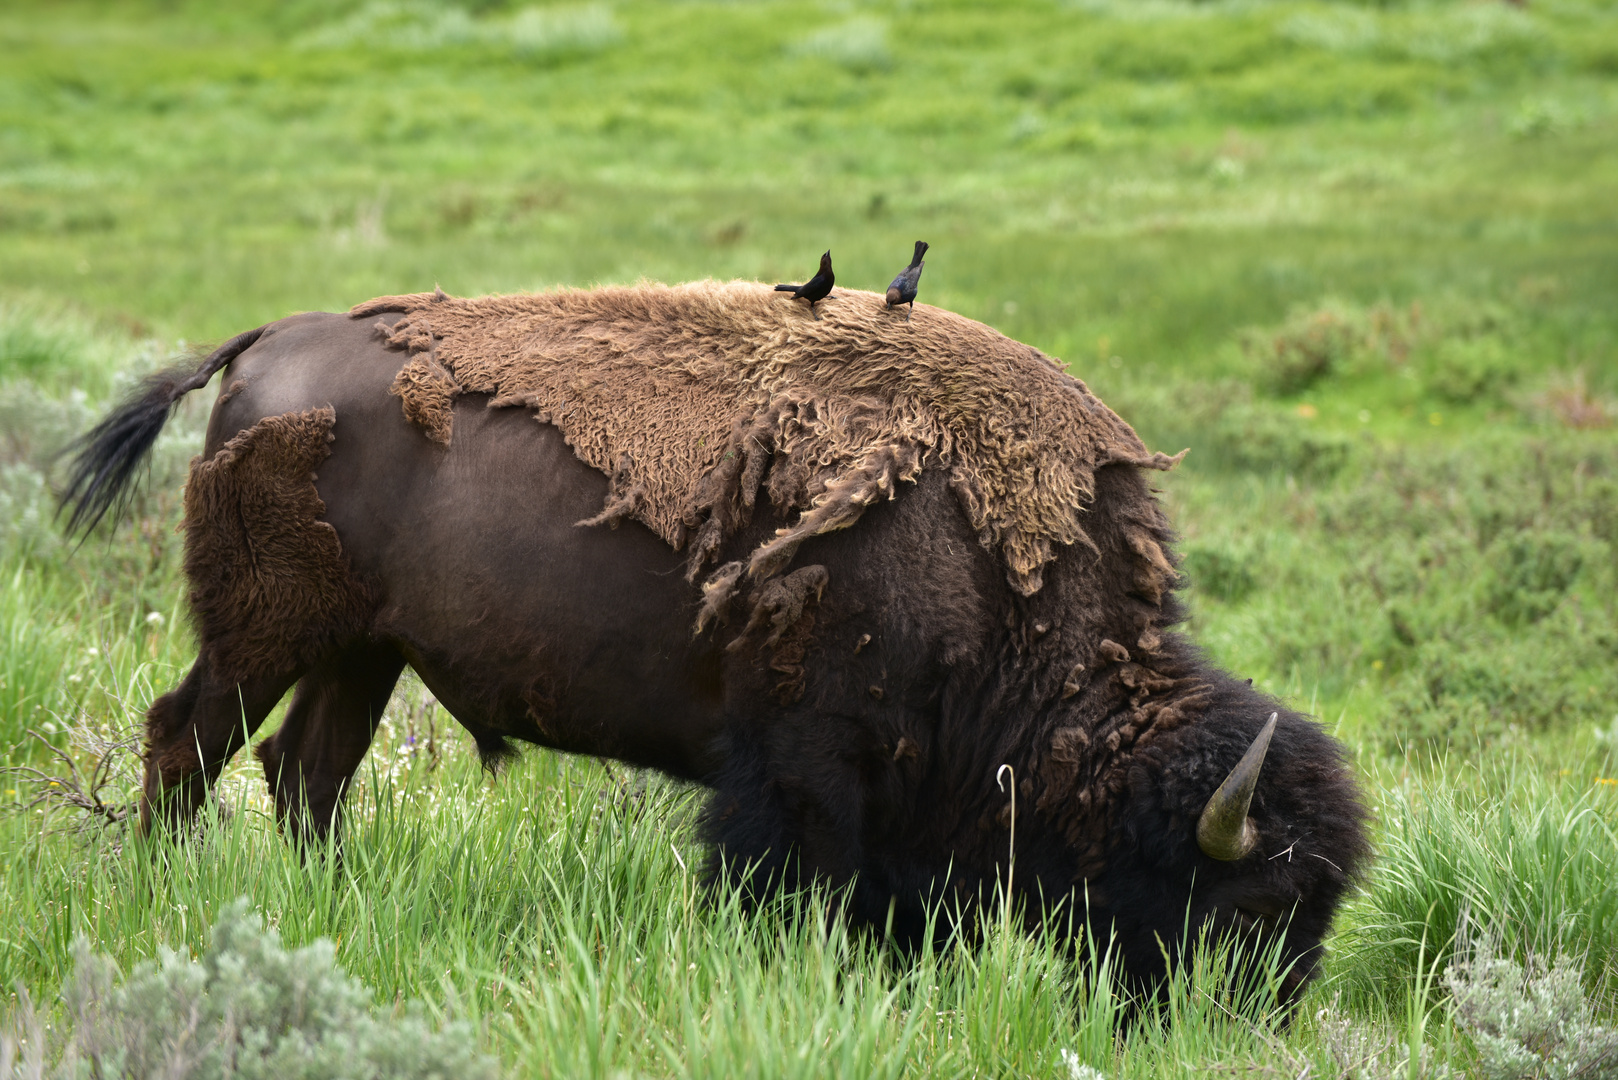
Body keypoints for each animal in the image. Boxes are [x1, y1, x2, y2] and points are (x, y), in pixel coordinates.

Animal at [69, 278, 1372, 1003]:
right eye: (1251, 907)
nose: (1252, 1023)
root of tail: (260, 348)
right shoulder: (804, 770)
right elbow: (789, 883)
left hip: (363, 651)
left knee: (307, 771)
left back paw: (331, 909)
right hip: (266, 633)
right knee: (188, 739)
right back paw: (161, 900)